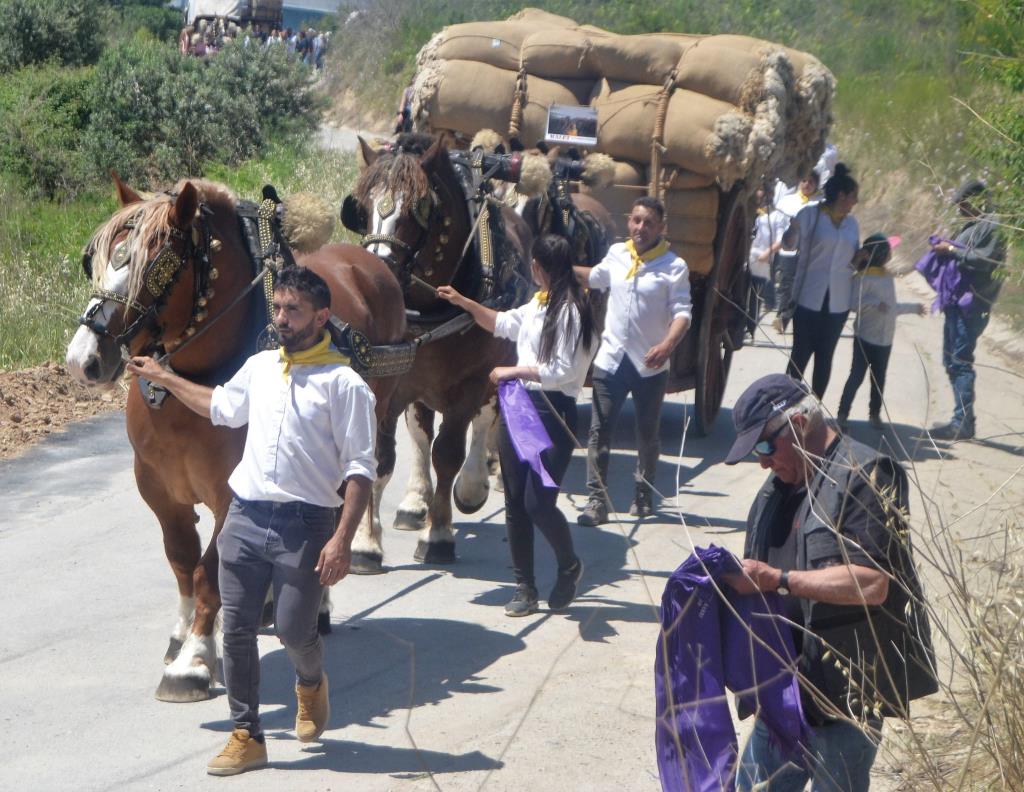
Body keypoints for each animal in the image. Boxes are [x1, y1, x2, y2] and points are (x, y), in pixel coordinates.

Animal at [62, 177, 407, 696]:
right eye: (96, 260)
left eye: (156, 266)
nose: (83, 359)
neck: (189, 389)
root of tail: (367, 261)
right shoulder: (158, 489)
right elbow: (181, 560)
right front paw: (181, 635)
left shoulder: (233, 492)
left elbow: (209, 572)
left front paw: (194, 659)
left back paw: (318, 606)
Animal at [346, 134, 532, 569]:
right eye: (361, 207)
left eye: (420, 208)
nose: (377, 274)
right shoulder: (389, 385)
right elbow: (380, 459)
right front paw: (366, 543)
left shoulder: (469, 384)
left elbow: (447, 453)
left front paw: (439, 535)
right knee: (420, 432)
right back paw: (415, 502)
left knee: (484, 420)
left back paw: (472, 485)